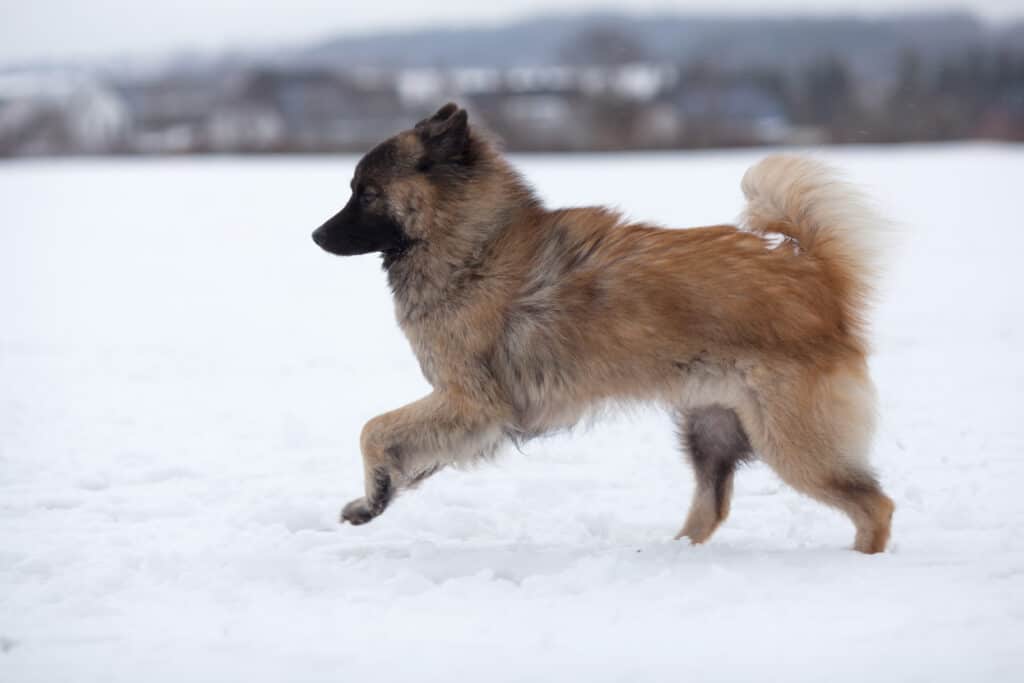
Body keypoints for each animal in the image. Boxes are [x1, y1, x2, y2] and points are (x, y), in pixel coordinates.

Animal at [311, 102, 897, 557]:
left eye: (366, 193)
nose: (316, 235)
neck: (474, 246)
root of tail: (815, 274)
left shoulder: (473, 404)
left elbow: (373, 430)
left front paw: (372, 495)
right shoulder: (465, 416)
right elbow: (401, 450)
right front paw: (372, 501)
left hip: (793, 443)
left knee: (876, 505)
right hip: (710, 429)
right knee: (711, 507)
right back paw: (671, 553)